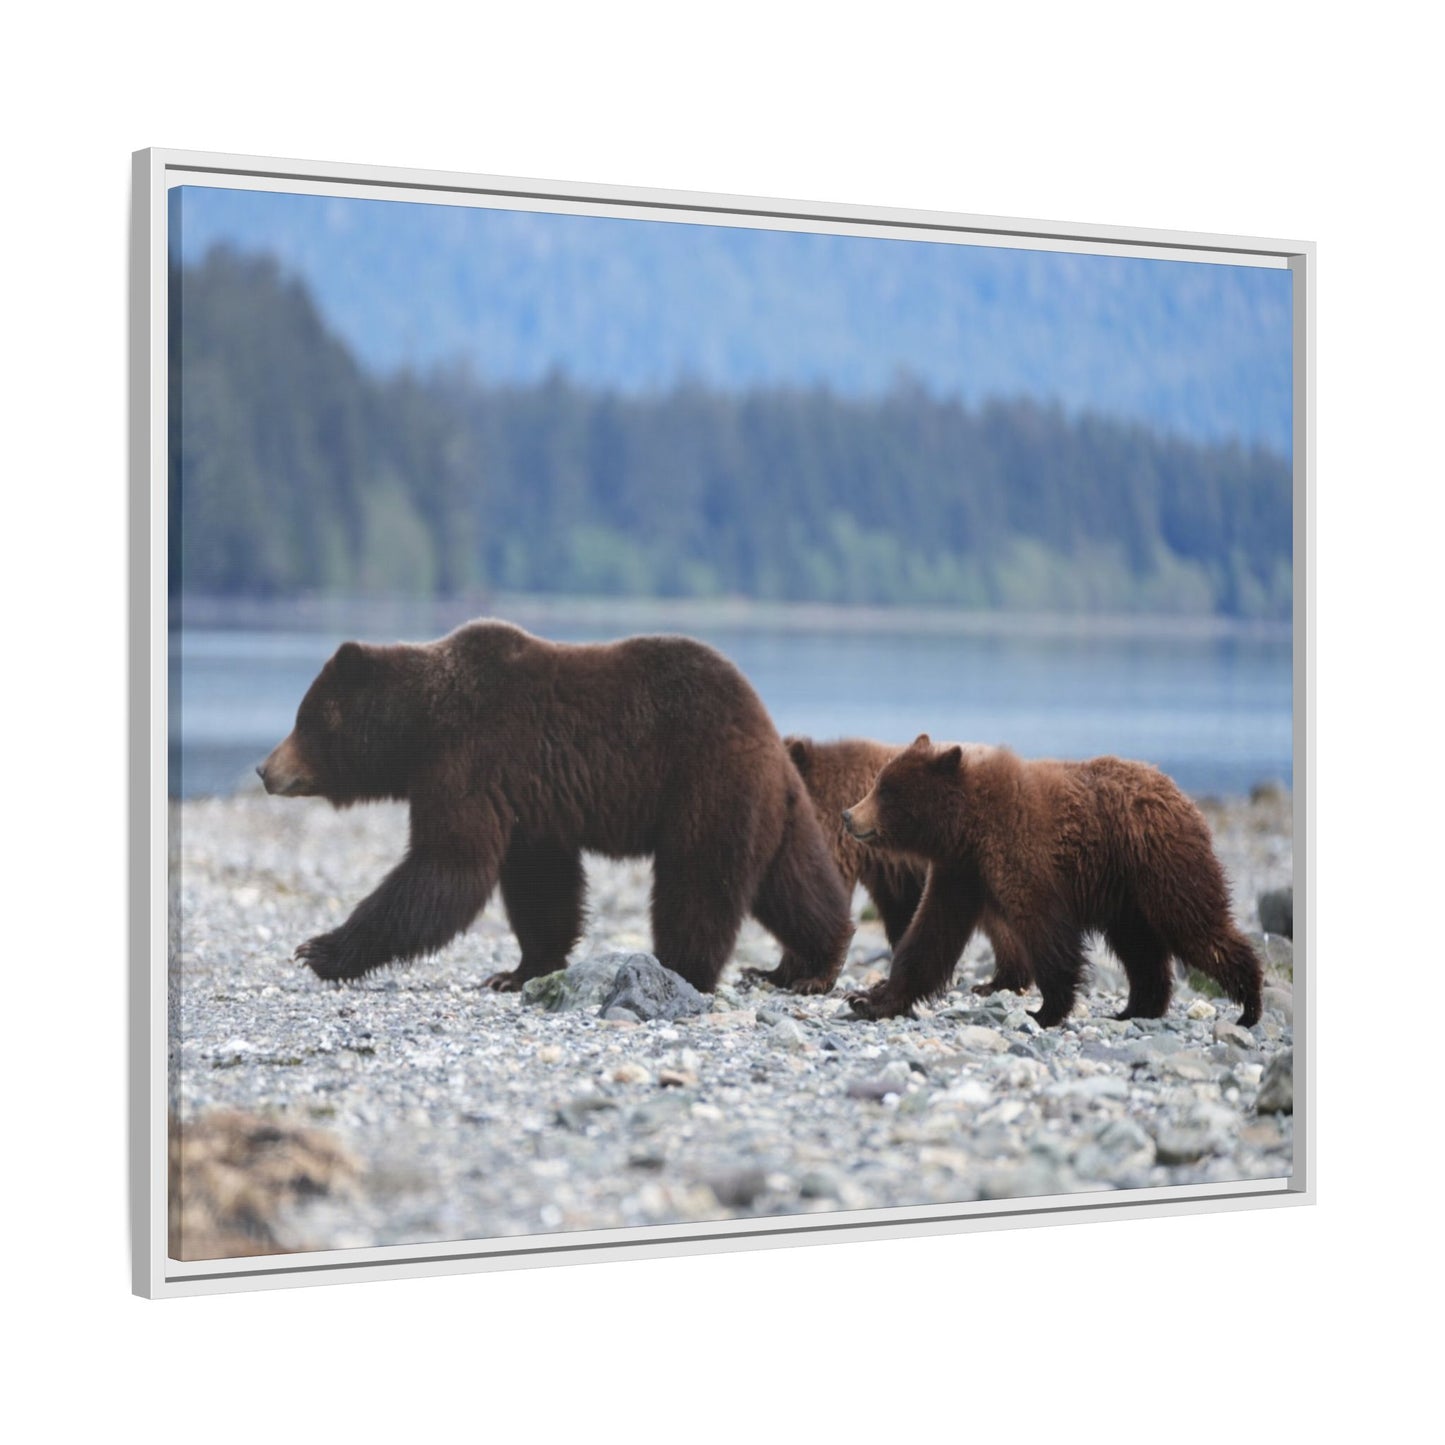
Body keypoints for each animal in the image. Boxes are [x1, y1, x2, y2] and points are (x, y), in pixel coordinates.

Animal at [257, 621, 853, 996]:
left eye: (303, 719)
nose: (264, 769)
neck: (421, 729)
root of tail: (766, 729)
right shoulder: (530, 805)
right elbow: (540, 887)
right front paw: (516, 972)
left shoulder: (470, 763)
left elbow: (447, 867)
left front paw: (319, 949)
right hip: (774, 806)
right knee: (795, 883)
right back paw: (811, 965)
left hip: (706, 786)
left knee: (698, 883)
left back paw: (680, 968)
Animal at [840, 735, 1263, 1029]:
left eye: (886, 790)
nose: (848, 815)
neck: (967, 827)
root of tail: (1180, 794)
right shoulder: (960, 871)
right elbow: (930, 935)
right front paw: (868, 999)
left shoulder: (1021, 853)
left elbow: (1045, 929)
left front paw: (1045, 1010)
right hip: (1127, 895)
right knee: (1140, 948)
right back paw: (1134, 1009)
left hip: (1160, 864)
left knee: (1196, 926)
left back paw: (1250, 1004)